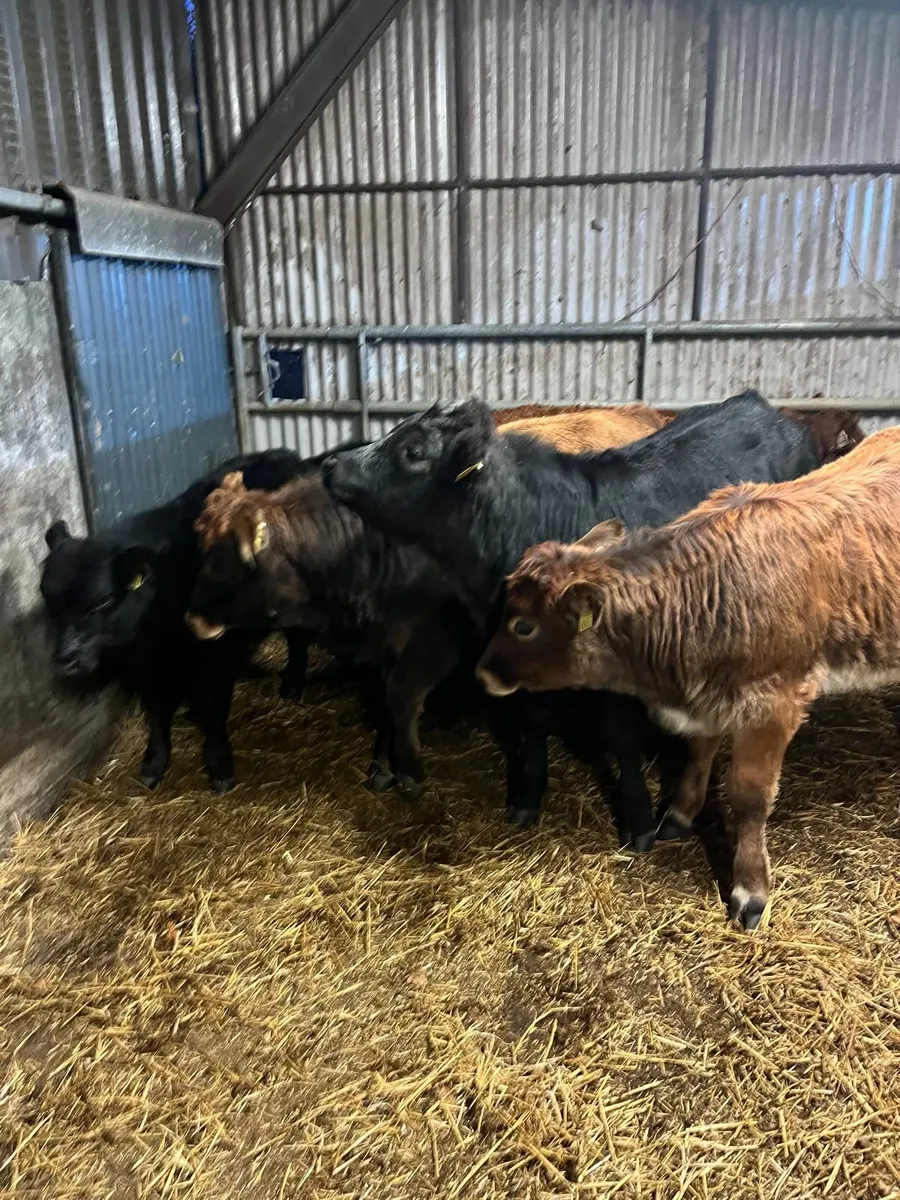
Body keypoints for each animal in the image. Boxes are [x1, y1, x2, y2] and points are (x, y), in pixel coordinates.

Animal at [40, 450, 320, 792]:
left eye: (102, 602)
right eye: (50, 605)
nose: (65, 658)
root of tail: (287, 455)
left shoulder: (213, 652)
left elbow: (213, 704)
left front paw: (219, 763)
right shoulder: (144, 662)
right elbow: (156, 710)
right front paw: (154, 761)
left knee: (298, 637)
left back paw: (292, 683)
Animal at [322, 392, 855, 837]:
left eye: (412, 450)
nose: (331, 463)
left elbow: (618, 736)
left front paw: (639, 819)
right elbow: (531, 721)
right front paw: (526, 797)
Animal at [475, 427, 900, 929]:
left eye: (524, 625)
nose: (482, 672)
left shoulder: (775, 703)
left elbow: (750, 798)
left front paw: (750, 891)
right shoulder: (710, 694)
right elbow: (698, 754)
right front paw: (679, 815)